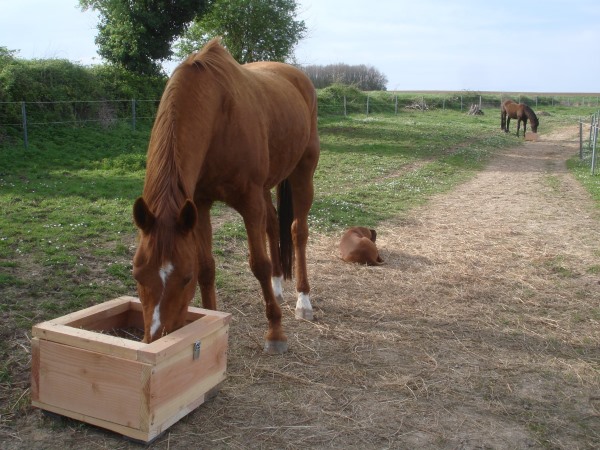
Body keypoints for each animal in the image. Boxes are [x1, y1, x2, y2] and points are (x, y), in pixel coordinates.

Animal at [131, 38, 318, 354]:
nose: (156, 338)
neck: (219, 116)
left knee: (297, 232)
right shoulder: (199, 205)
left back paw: (303, 301)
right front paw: (211, 321)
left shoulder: (248, 201)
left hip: (303, 171)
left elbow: (259, 264)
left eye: (185, 279)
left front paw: (275, 333)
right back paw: (278, 288)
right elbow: (208, 267)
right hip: (266, 187)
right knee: (272, 225)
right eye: (136, 274)